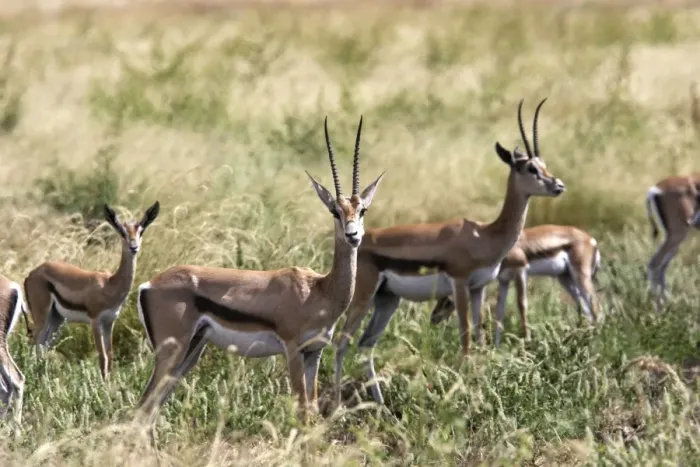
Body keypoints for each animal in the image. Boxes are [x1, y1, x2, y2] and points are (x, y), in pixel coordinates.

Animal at [23, 202, 161, 381]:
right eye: (122, 232)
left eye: (141, 230)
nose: (134, 247)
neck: (110, 285)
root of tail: (32, 273)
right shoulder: (95, 321)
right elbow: (102, 357)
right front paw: (103, 385)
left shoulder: (110, 322)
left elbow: (110, 355)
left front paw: (110, 384)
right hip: (41, 317)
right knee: (33, 346)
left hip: (56, 319)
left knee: (42, 348)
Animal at [134, 117, 384, 428]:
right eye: (334, 211)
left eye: (362, 210)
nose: (353, 236)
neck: (319, 290)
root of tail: (148, 285)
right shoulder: (292, 349)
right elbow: (301, 408)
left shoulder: (314, 353)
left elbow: (312, 408)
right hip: (173, 351)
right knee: (144, 405)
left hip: (191, 349)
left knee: (153, 406)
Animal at [332, 98, 566, 407]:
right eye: (530, 169)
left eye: (544, 164)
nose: (558, 185)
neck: (484, 234)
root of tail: (359, 241)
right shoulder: (459, 283)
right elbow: (465, 337)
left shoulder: (479, 287)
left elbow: (479, 335)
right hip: (362, 297)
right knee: (341, 343)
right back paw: (336, 404)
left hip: (387, 300)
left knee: (364, 345)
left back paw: (380, 406)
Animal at [429, 224, 601, 347]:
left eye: (447, 300)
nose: (433, 318)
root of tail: (592, 240)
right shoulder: (504, 279)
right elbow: (499, 311)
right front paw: (496, 348)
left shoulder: (521, 270)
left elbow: (521, 305)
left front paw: (527, 341)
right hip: (565, 279)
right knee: (585, 308)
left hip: (581, 277)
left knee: (596, 306)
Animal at [645, 174, 700, 311]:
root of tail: (654, 189)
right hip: (678, 235)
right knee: (654, 264)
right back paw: (661, 309)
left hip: (673, 238)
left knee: (661, 266)